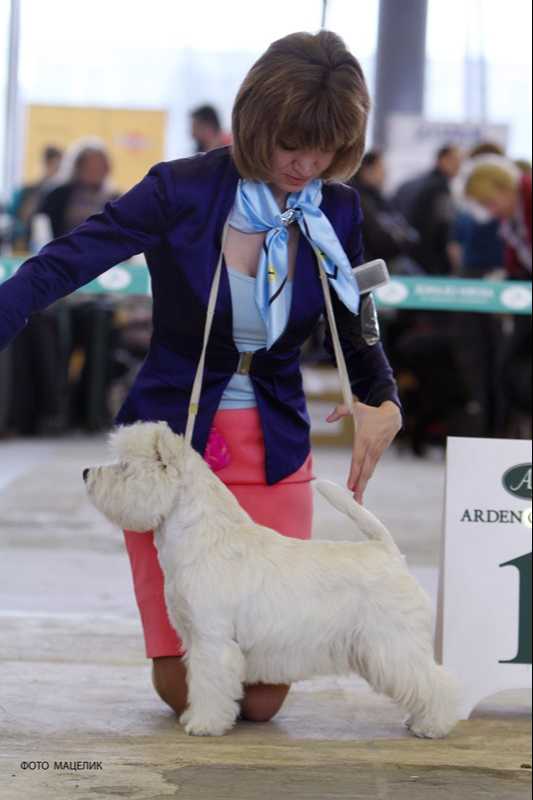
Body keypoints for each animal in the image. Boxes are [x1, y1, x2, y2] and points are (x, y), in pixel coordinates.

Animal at [84, 421, 459, 738]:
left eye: (124, 466)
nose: (86, 471)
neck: (202, 537)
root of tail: (389, 551)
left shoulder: (211, 638)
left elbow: (209, 684)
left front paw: (204, 724)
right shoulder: (195, 637)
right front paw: (194, 716)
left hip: (393, 643)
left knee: (435, 681)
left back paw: (433, 725)